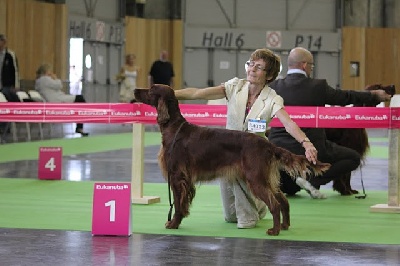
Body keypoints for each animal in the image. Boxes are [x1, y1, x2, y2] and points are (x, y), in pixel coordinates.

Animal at [133, 84, 330, 236]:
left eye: (151, 89)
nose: (135, 90)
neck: (173, 128)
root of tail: (268, 145)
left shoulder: (177, 176)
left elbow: (178, 203)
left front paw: (173, 223)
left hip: (255, 178)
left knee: (274, 204)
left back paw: (274, 231)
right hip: (264, 178)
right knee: (283, 200)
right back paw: (284, 225)